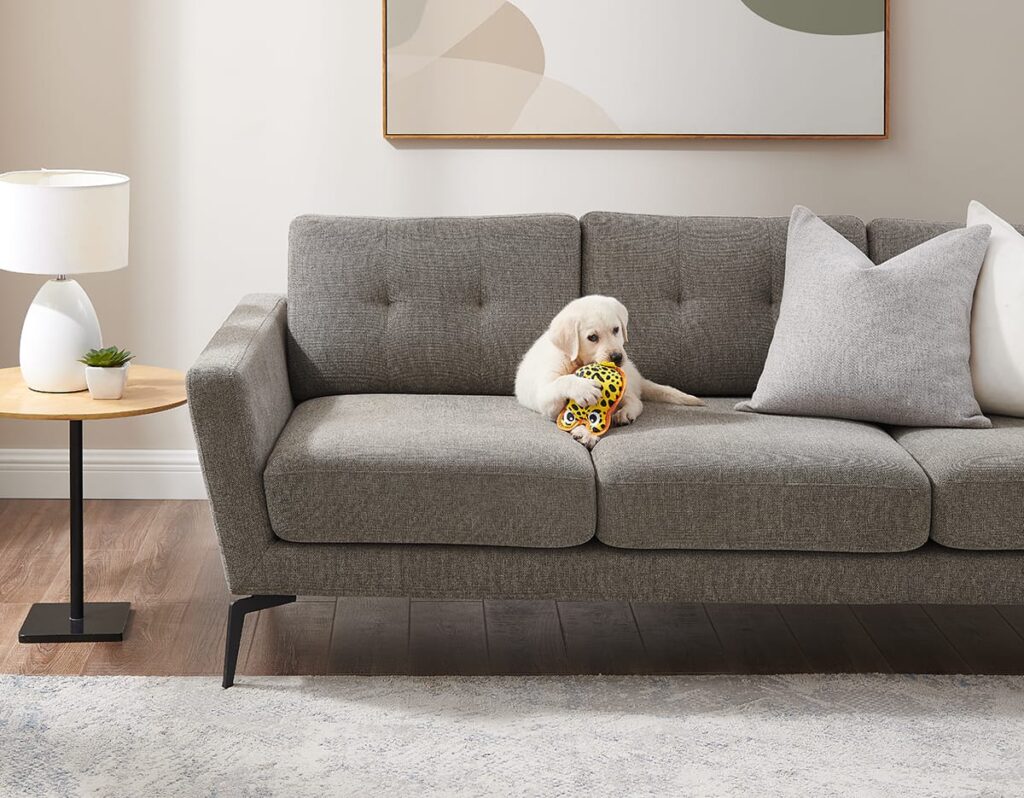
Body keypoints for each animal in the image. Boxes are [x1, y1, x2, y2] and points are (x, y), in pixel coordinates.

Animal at [516, 295, 700, 448]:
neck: (577, 360)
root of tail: (637, 376)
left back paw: (626, 413)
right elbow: (563, 381)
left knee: (636, 401)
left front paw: (588, 432)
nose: (617, 357)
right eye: (592, 337)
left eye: (616, 329)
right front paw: (584, 391)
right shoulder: (546, 400)